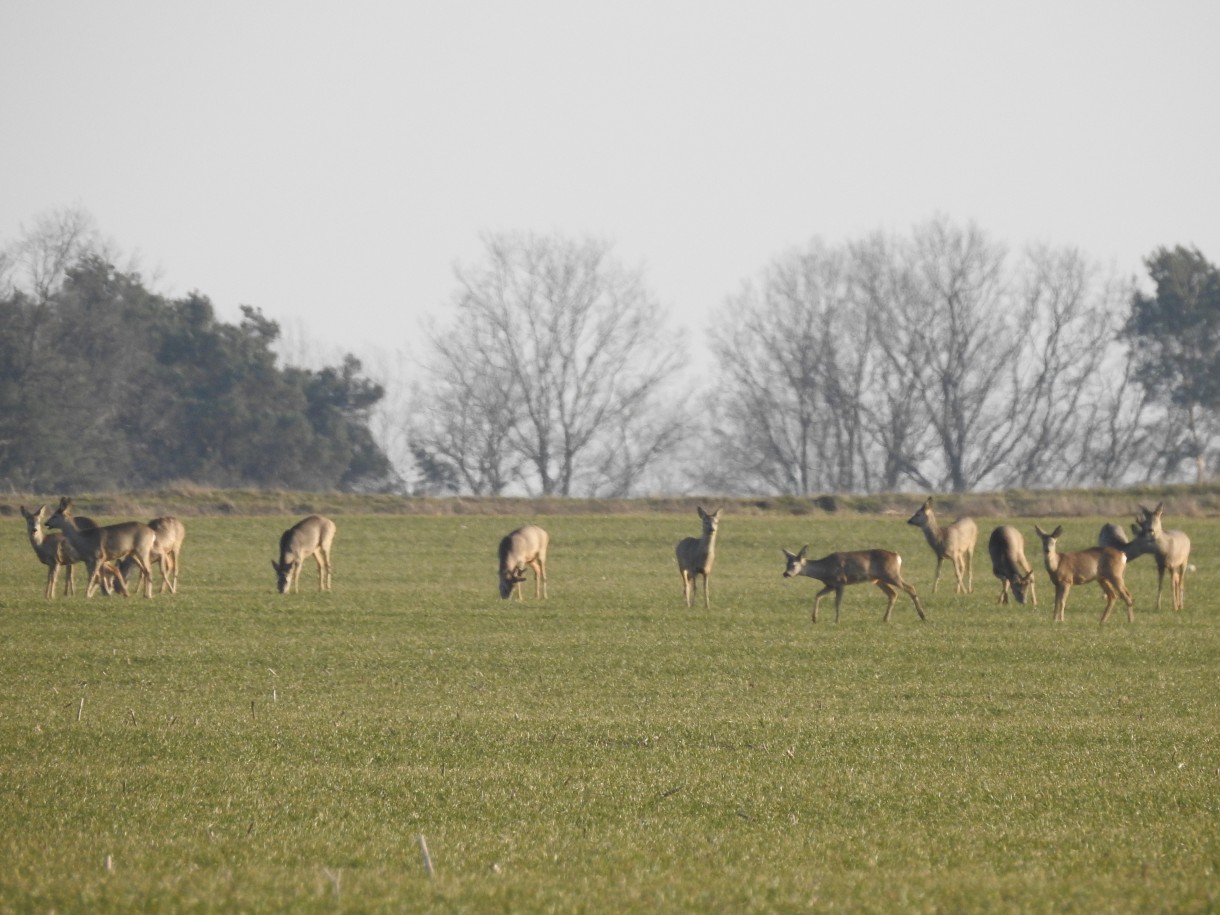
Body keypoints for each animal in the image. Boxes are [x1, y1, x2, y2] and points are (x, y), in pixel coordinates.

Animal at [780, 549, 922, 629]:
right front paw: (814, 618)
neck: (824, 569)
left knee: (910, 587)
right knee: (893, 593)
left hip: (891, 574)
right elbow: (818, 595)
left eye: (794, 564)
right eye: (786, 564)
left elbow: (837, 602)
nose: (785, 573)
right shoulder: (830, 585)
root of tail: (897, 557)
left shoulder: (840, 582)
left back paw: (922, 615)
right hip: (878, 579)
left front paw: (837, 620)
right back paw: (885, 619)